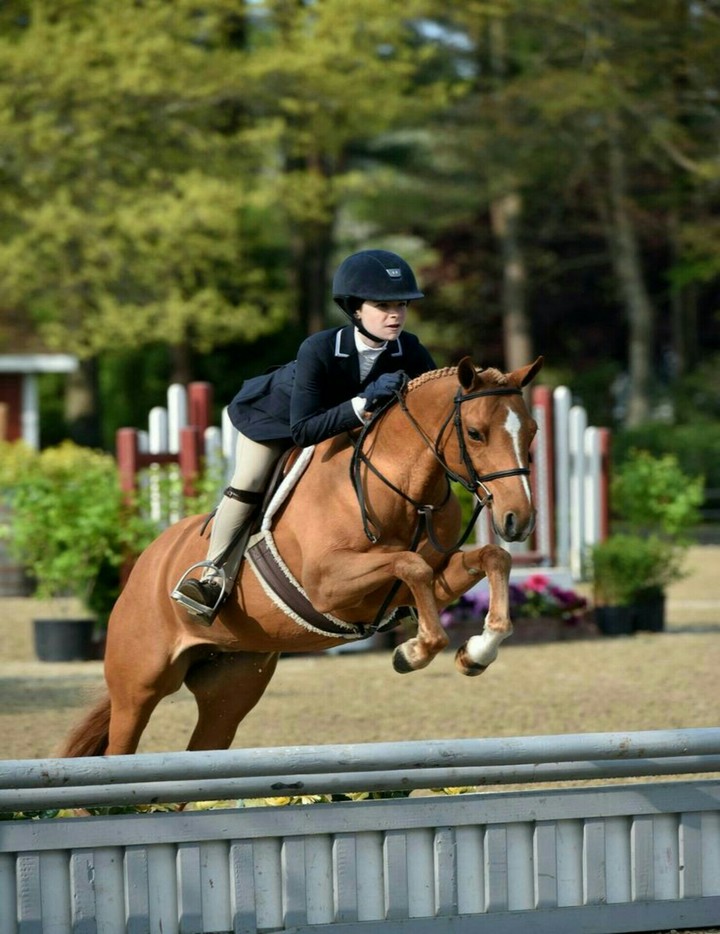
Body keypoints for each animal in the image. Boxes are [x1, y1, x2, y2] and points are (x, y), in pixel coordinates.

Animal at [59, 356, 542, 757]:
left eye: (533, 431)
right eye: (475, 433)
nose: (518, 519)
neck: (401, 484)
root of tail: (148, 562)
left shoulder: (425, 581)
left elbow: (490, 559)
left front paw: (476, 652)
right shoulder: (329, 586)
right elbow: (411, 564)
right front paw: (415, 651)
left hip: (230, 689)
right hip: (139, 687)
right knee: (119, 747)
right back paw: (202, 588)